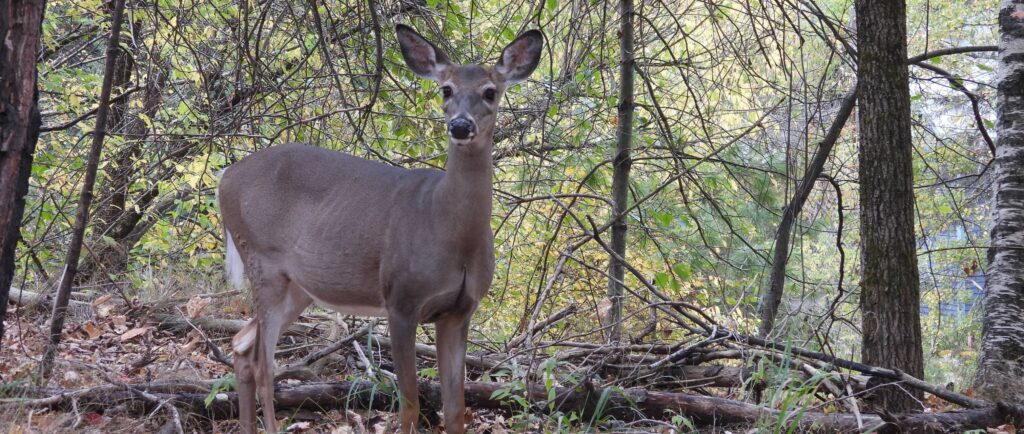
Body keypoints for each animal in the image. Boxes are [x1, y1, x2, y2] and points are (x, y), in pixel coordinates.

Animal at [217, 24, 543, 434]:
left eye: (490, 91)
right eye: (446, 89)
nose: (460, 125)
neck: (450, 231)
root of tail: (225, 177)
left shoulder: (460, 311)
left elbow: (455, 408)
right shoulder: (400, 298)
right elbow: (410, 404)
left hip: (298, 286)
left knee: (242, 344)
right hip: (263, 260)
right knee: (264, 366)